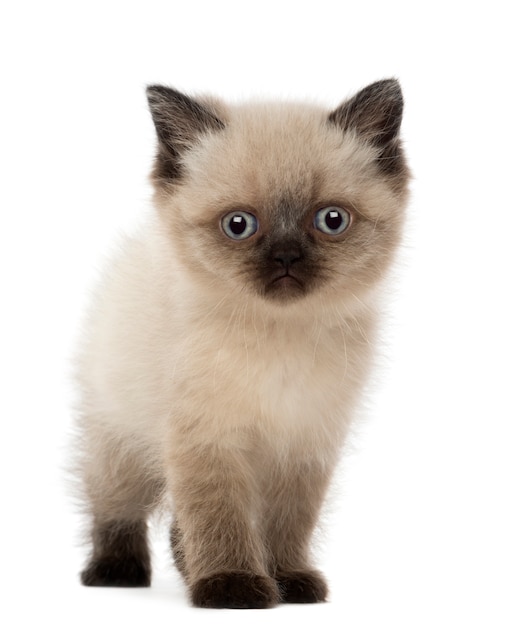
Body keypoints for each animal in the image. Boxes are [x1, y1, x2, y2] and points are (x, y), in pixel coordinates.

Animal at [75, 78, 408, 604]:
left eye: (331, 220)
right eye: (239, 225)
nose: (286, 258)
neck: (279, 338)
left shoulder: (304, 443)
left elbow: (287, 523)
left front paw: (287, 580)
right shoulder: (208, 441)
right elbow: (219, 517)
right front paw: (232, 586)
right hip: (118, 444)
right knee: (115, 506)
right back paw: (116, 571)